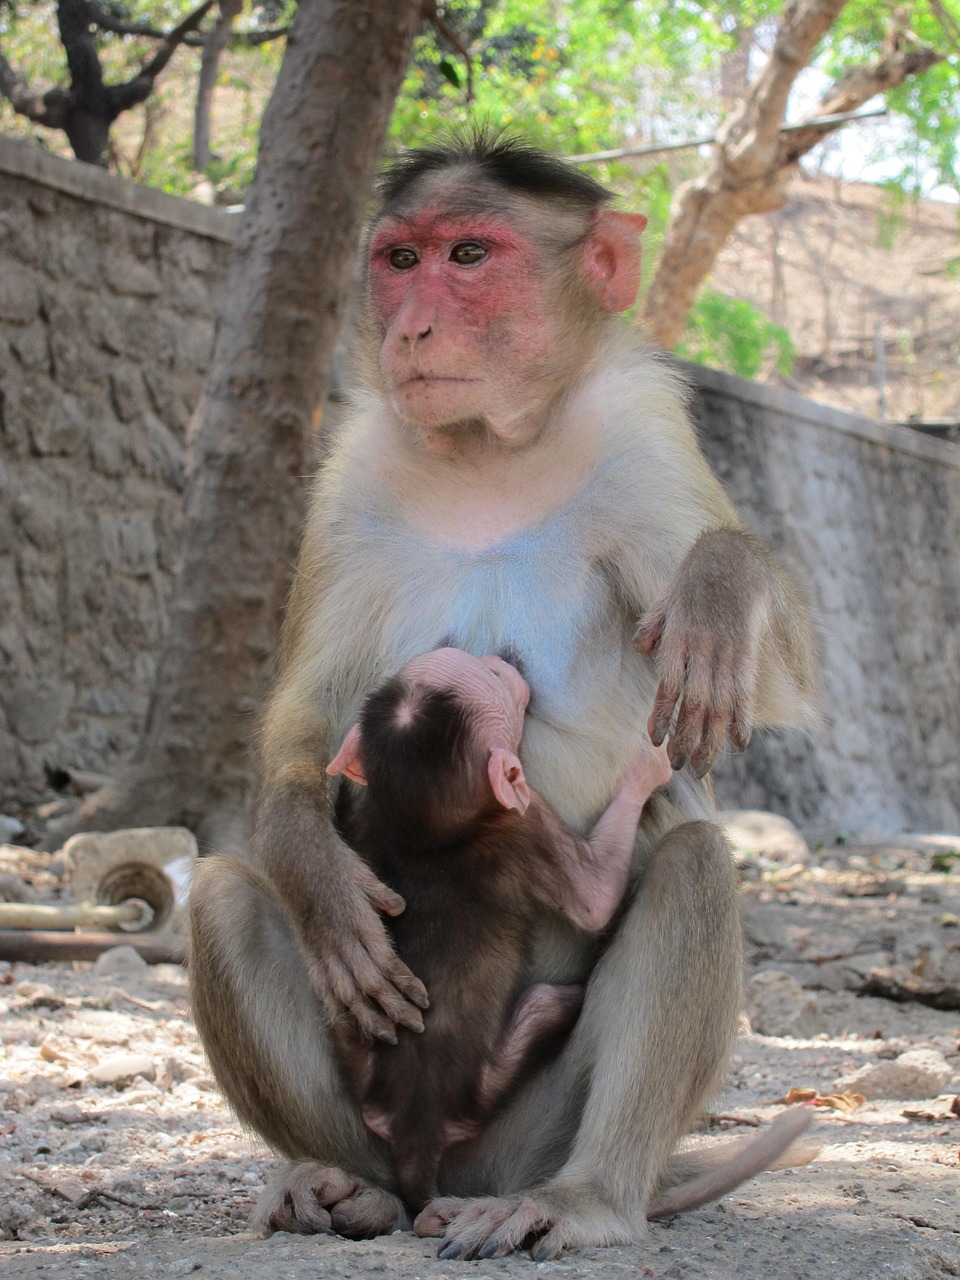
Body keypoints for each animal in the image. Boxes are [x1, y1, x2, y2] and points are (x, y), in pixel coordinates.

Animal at [327, 650, 670, 1208]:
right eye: (490, 678)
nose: (497, 657)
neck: (425, 831)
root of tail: (416, 1128)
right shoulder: (525, 826)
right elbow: (594, 900)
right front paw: (647, 768)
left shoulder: (368, 822)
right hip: (484, 1085)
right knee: (548, 1004)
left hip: (362, 1063)